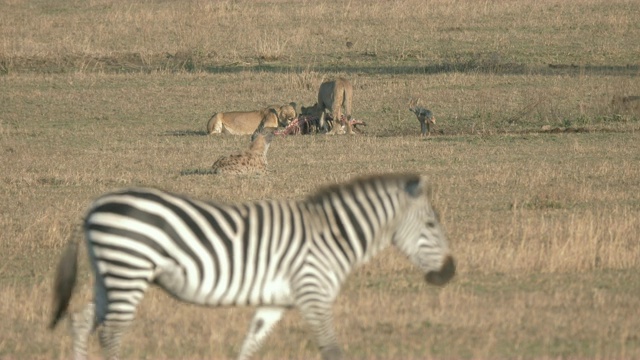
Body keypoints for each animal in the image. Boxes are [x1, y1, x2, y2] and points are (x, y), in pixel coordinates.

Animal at [50, 173, 456, 358]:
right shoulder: (313, 293)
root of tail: (94, 206)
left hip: (110, 274)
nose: (450, 272)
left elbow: (250, 345)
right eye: (432, 224)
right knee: (111, 332)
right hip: (128, 268)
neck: (332, 235)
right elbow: (331, 348)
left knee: (83, 320)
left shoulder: (276, 302)